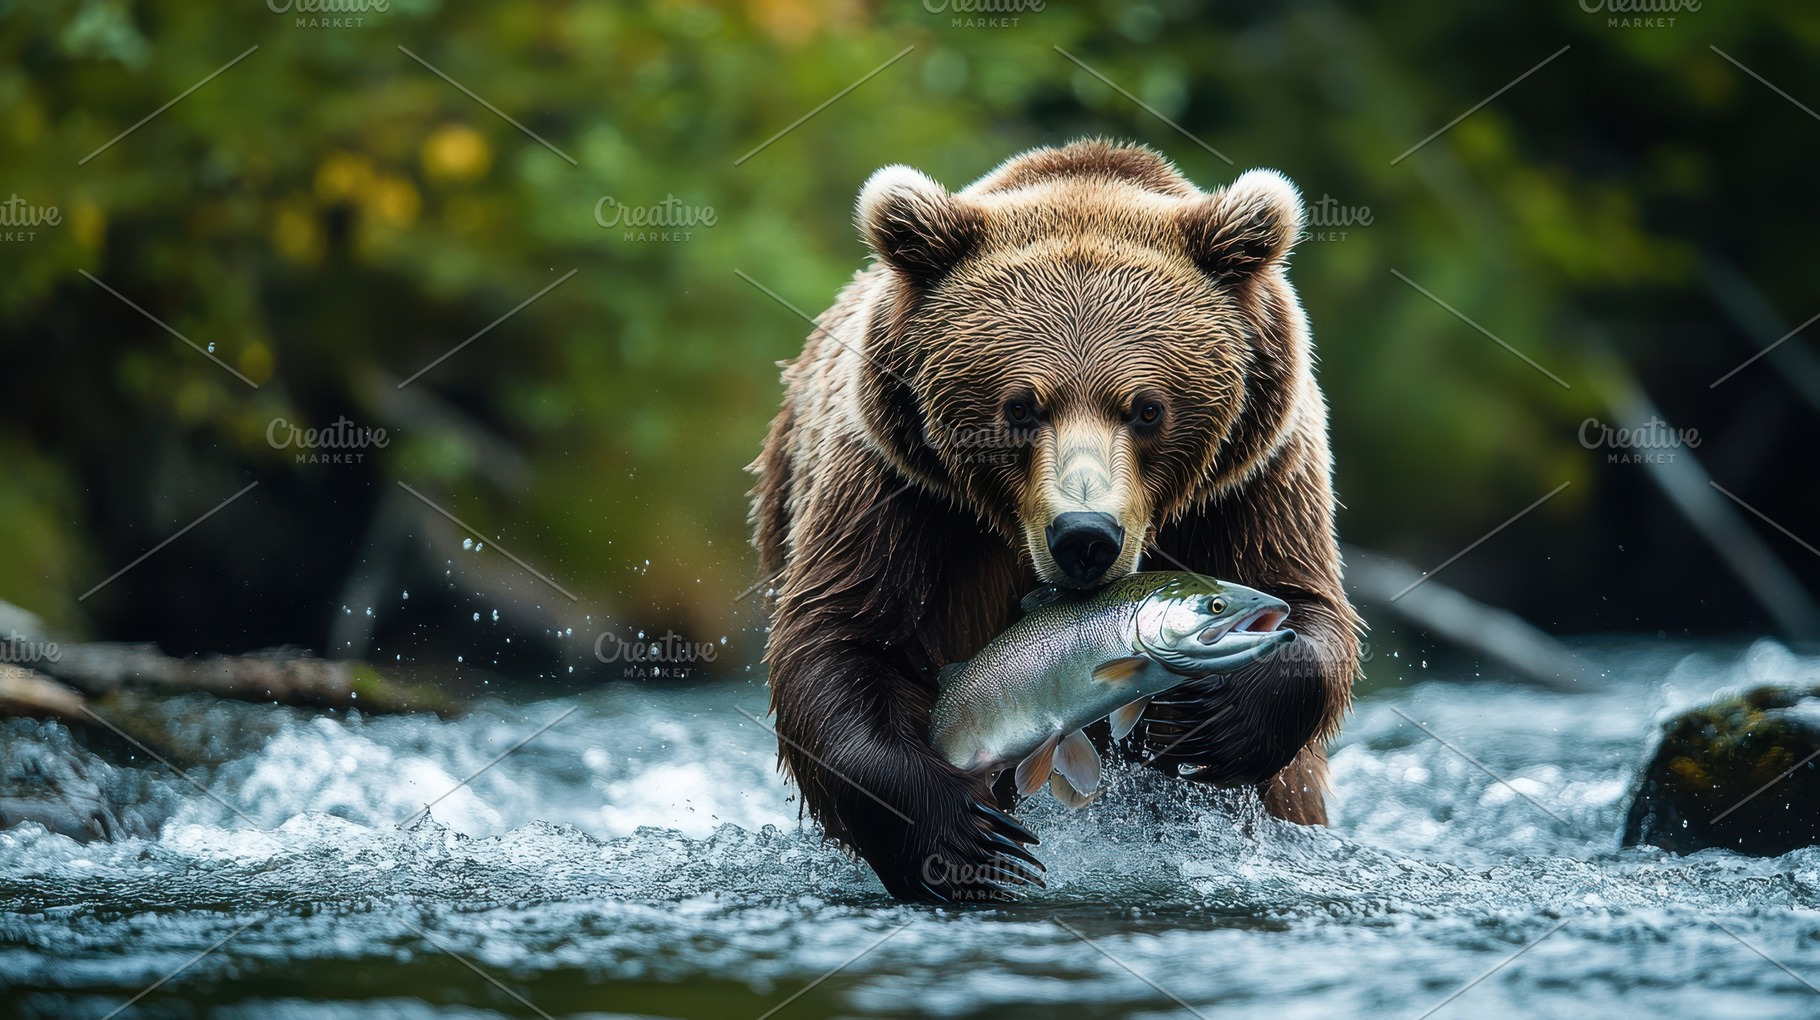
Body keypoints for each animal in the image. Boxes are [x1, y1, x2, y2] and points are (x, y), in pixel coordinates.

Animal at [748, 139, 1362, 902]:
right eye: (1019, 406)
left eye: (1148, 408)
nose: (1085, 537)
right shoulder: (895, 482)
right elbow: (839, 637)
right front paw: (962, 835)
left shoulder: (1256, 476)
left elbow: (1306, 605)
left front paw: (1211, 717)